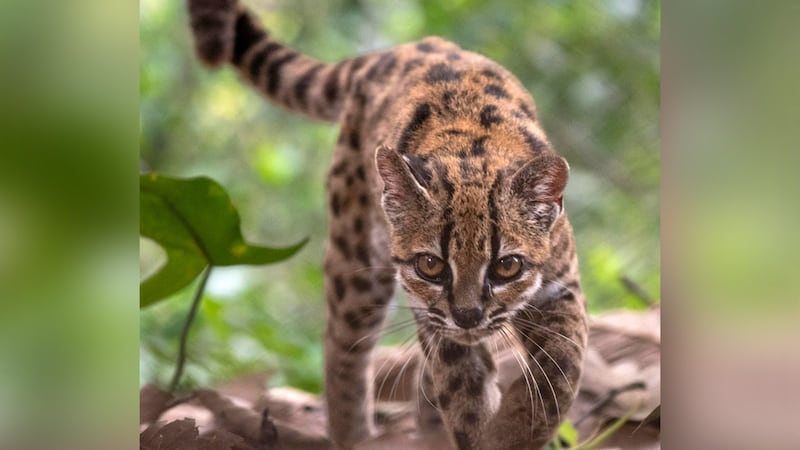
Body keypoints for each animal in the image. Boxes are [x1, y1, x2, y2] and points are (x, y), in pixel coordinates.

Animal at [186, 1, 588, 448]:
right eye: (430, 265)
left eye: (507, 266)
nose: (468, 316)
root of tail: (400, 50)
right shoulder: (433, 316)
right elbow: (463, 394)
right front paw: (489, 434)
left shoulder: (560, 286)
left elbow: (561, 369)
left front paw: (515, 429)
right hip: (355, 258)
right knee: (342, 352)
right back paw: (354, 435)